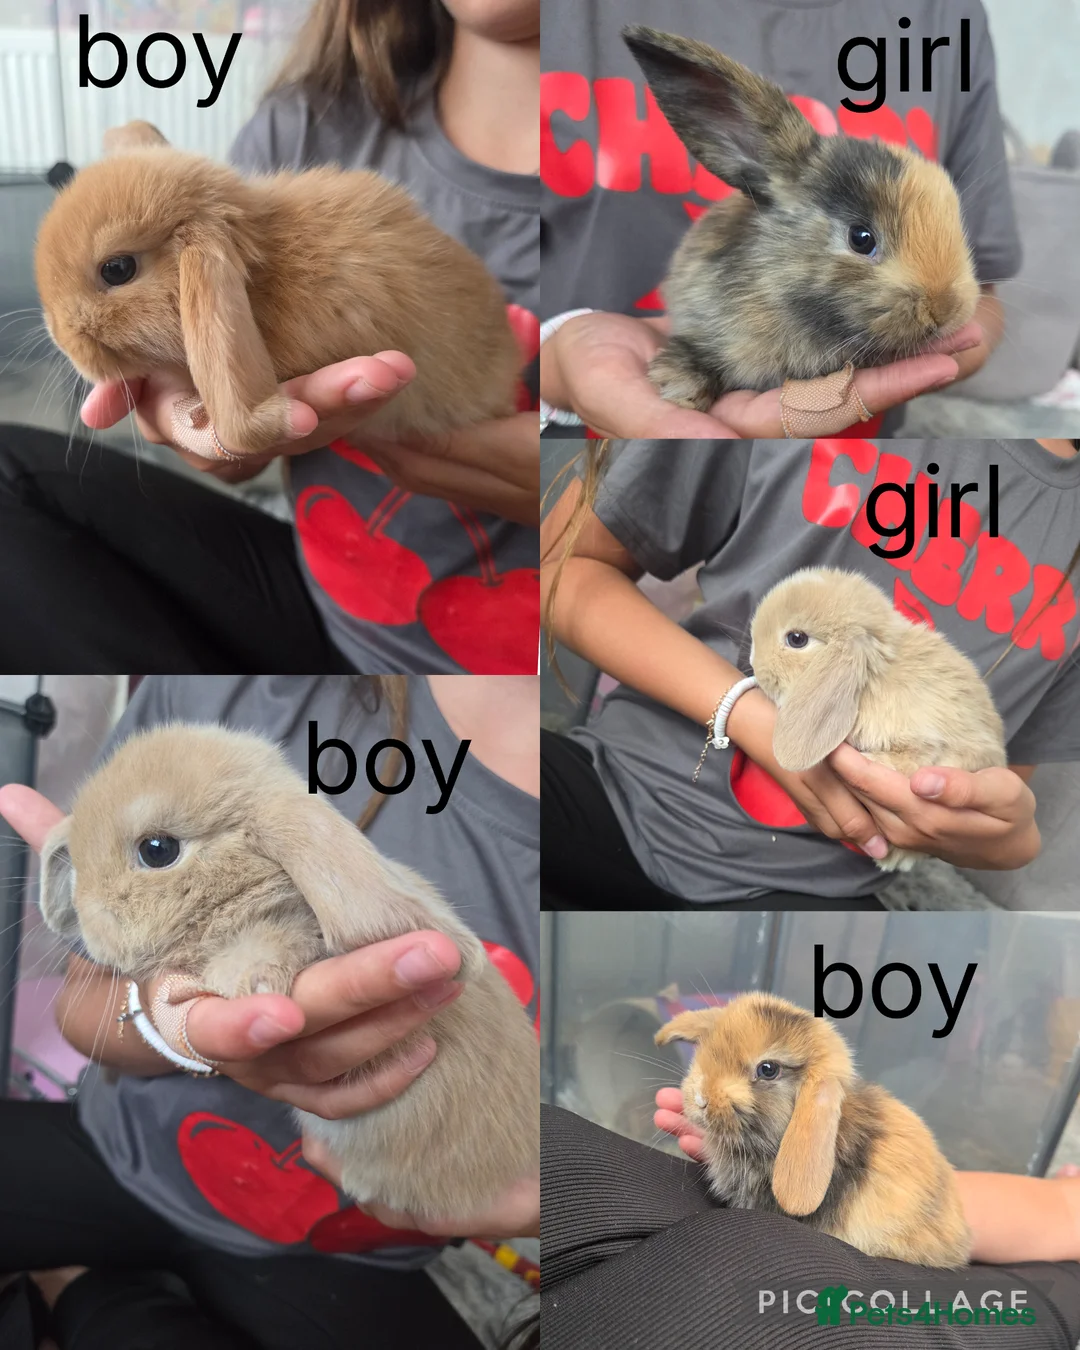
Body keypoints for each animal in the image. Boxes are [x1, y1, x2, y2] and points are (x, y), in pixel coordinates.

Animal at [749, 567, 1007, 871]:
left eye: (797, 639)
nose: (753, 663)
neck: (875, 674)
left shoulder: (924, 738)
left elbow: (915, 756)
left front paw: (875, 759)